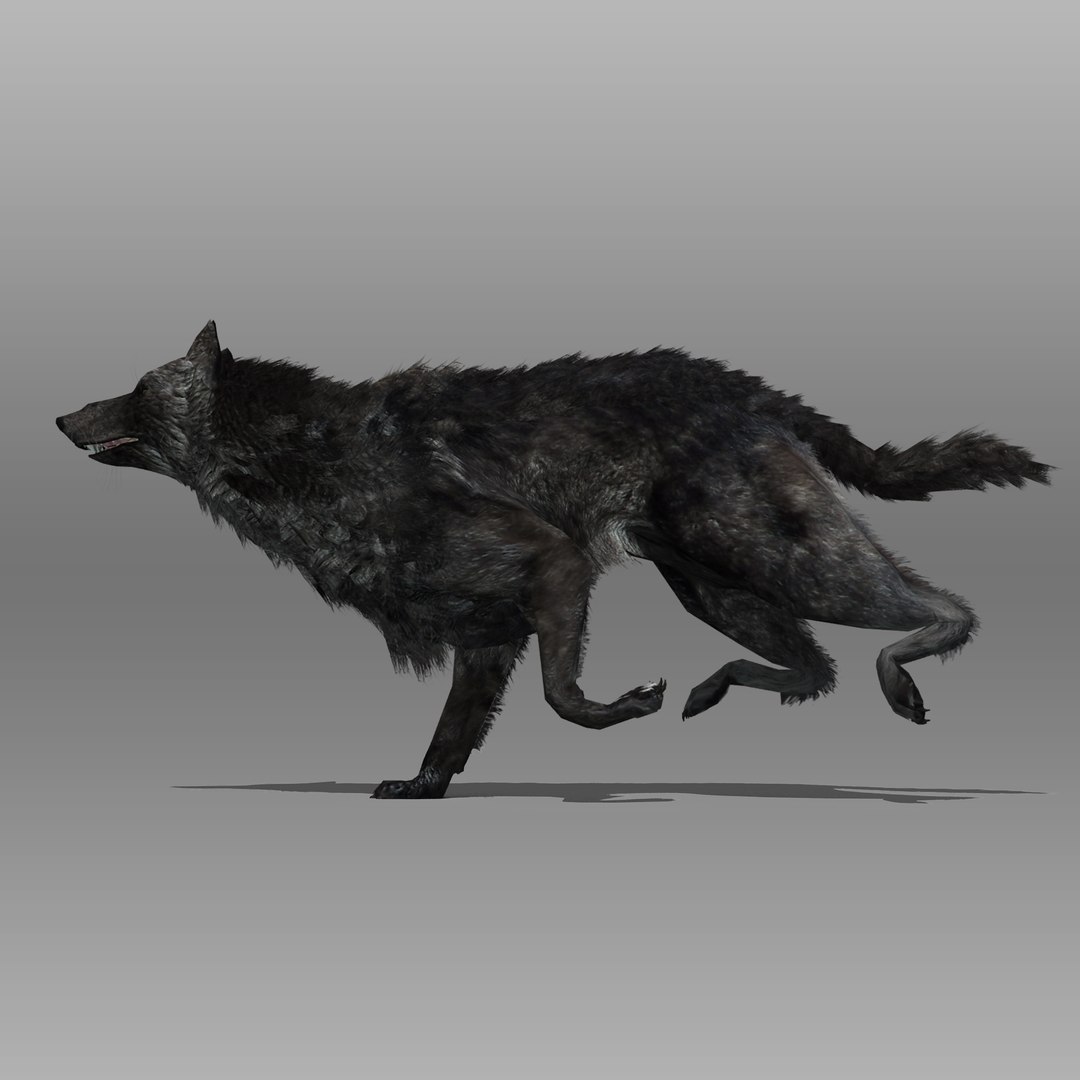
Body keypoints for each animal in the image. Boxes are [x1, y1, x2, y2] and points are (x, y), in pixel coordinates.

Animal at [56, 321, 1054, 797]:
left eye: (136, 390)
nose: (62, 416)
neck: (304, 445)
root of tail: (744, 383)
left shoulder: (550, 562)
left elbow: (562, 697)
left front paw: (618, 710)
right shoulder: (486, 629)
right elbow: (455, 729)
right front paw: (424, 786)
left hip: (772, 553)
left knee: (936, 614)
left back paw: (902, 671)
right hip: (714, 585)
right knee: (815, 669)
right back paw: (717, 689)